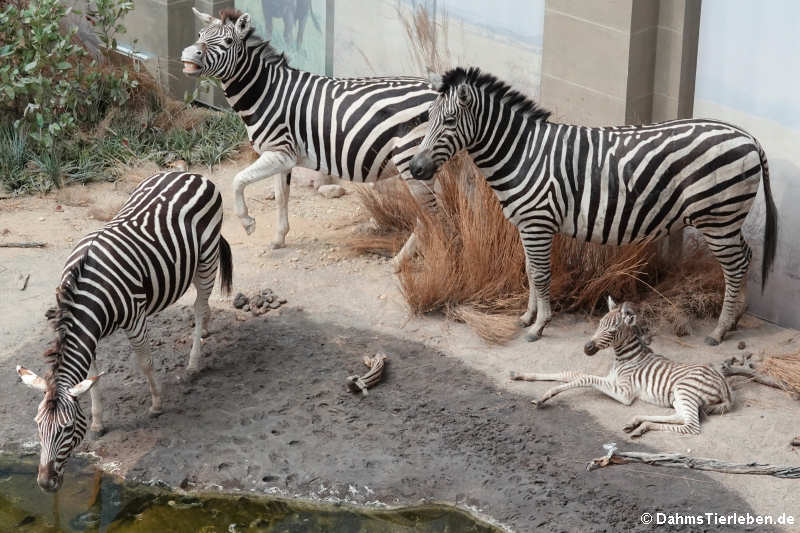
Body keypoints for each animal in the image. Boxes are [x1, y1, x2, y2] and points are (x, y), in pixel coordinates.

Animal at [14, 172, 233, 492]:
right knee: (203, 307)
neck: (87, 294)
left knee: (199, 305)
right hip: (192, 260)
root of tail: (189, 174)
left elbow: (146, 363)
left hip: (206, 257)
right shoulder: (88, 336)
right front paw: (97, 422)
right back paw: (205, 329)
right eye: (37, 425)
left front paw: (156, 405)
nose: (45, 483)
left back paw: (194, 362)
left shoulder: (136, 320)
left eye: (66, 429)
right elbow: (93, 380)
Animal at [181, 8, 438, 266]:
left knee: (431, 215)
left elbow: (238, 181)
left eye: (228, 41)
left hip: (410, 160)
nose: (188, 53)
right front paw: (279, 239)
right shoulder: (281, 157)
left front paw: (248, 223)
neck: (266, 93)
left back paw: (403, 260)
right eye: (200, 34)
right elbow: (281, 197)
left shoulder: (280, 151)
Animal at [410, 66, 780, 344]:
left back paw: (719, 330)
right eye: (427, 116)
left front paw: (539, 325)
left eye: (450, 121)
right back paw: (735, 320)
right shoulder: (526, 224)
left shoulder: (538, 223)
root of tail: (749, 137)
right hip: (728, 217)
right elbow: (528, 270)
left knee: (734, 266)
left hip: (717, 216)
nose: (416, 168)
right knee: (745, 257)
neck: (522, 154)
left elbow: (540, 274)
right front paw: (527, 316)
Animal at [510, 296, 736, 436]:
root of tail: (725, 386)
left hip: (684, 390)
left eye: (612, 331)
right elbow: (571, 373)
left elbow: (583, 378)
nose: (587, 348)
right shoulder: (610, 380)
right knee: (680, 417)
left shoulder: (625, 393)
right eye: (599, 324)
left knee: (691, 426)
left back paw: (642, 426)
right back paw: (638, 423)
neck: (624, 359)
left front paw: (546, 395)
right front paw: (522, 374)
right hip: (677, 397)